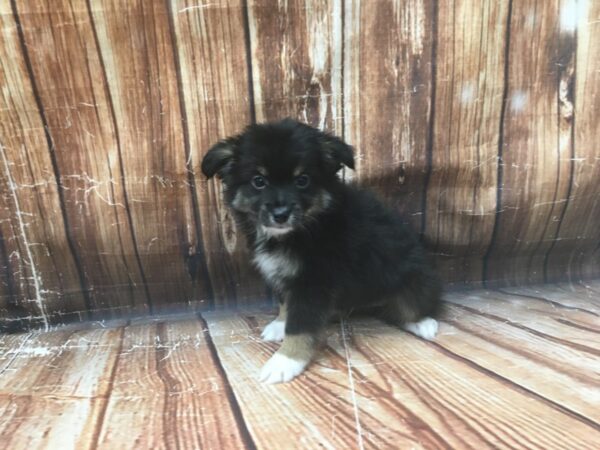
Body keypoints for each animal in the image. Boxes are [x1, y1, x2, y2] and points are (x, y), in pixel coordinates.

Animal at [204, 118, 442, 384]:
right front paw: (279, 324)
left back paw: (424, 323)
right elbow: (287, 304)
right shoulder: (289, 277)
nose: (281, 214)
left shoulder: (314, 282)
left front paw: (285, 361)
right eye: (258, 181)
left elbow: (300, 325)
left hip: (413, 279)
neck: (306, 227)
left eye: (302, 180)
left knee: (414, 306)